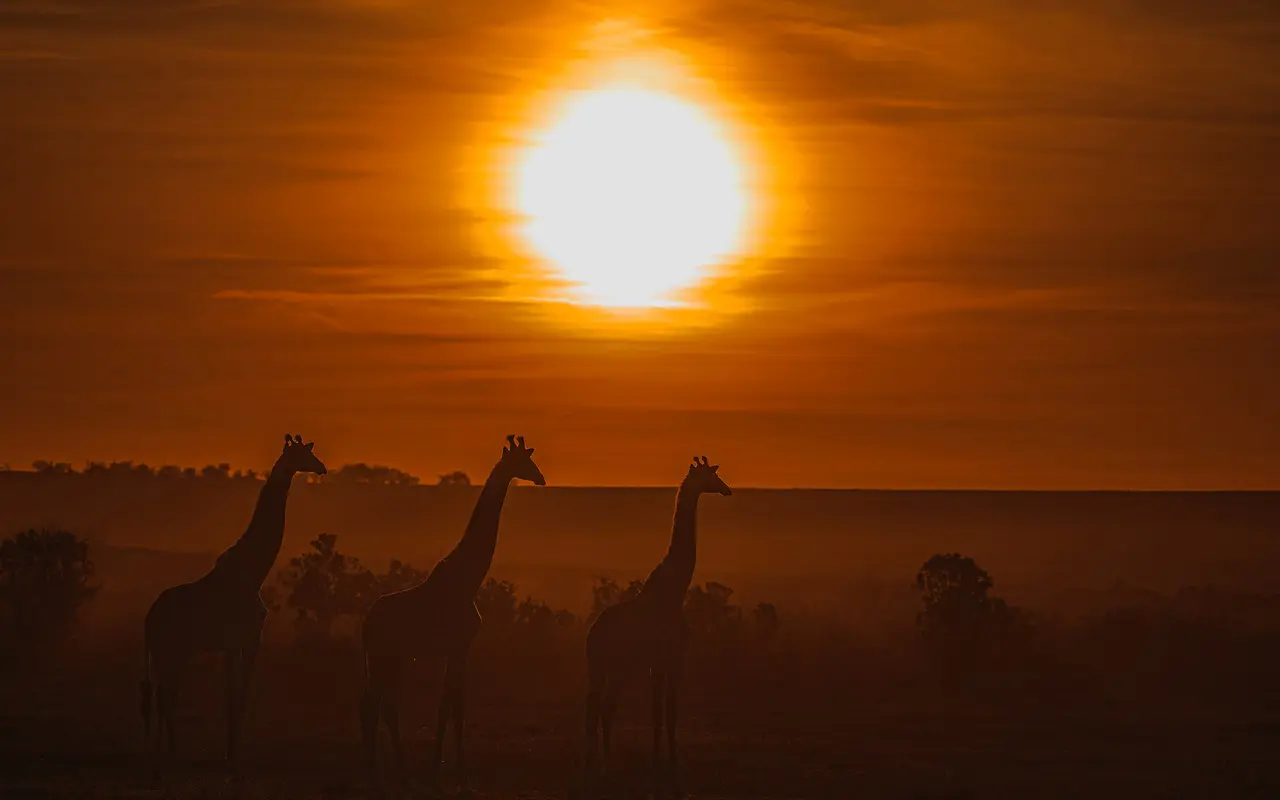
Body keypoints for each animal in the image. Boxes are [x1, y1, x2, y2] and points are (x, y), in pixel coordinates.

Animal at [140, 434, 327, 771]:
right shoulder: (241, 641)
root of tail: (149, 618)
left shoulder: (241, 643)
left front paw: (230, 752)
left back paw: (169, 751)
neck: (253, 573)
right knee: (164, 697)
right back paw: (166, 754)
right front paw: (231, 757)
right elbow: (235, 699)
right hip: (169, 650)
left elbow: (236, 699)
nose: (322, 468)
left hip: (173, 652)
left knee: (164, 697)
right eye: (302, 454)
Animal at [359, 434, 545, 790]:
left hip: (388, 658)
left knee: (381, 705)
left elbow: (452, 704)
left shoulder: (456, 650)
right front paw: (452, 765)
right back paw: (384, 770)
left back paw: (386, 768)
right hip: (383, 655)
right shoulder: (459, 647)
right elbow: (452, 705)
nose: (541, 478)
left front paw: (445, 763)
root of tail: (366, 621)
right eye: (524, 461)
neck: (469, 579)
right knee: (377, 705)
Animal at [582, 455, 732, 796]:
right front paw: (671, 763)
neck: (675, 590)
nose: (727, 490)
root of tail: (591, 636)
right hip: (618, 668)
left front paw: (657, 760)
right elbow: (669, 714)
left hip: (602, 668)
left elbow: (658, 715)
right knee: (603, 707)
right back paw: (603, 767)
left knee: (596, 707)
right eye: (710, 476)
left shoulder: (656, 664)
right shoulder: (672, 659)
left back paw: (595, 765)